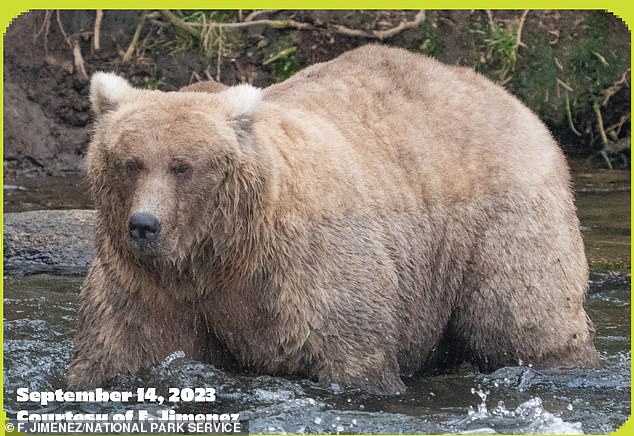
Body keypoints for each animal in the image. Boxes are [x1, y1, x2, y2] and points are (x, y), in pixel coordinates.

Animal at [66, 45, 596, 396]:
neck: (221, 252)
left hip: (499, 221)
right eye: (130, 162)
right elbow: (120, 348)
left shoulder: (306, 267)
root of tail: (509, 97)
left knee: (524, 317)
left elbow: (350, 351)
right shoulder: (148, 284)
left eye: (183, 166)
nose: (144, 224)